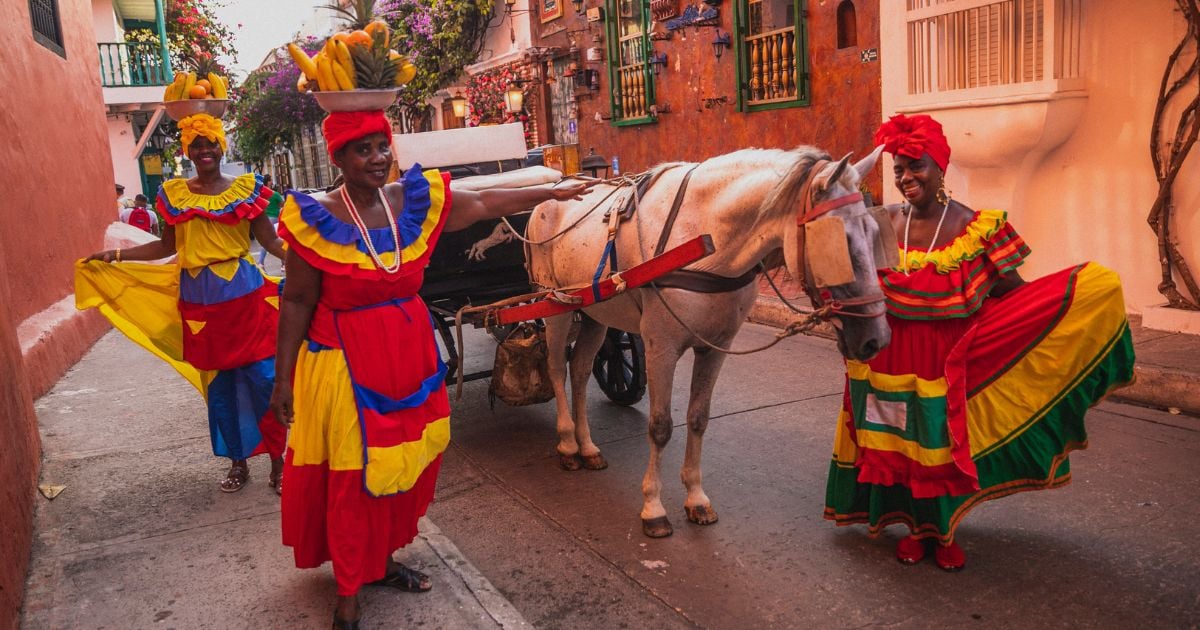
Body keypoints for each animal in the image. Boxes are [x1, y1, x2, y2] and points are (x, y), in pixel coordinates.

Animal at [528, 147, 892, 535]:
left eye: (873, 231)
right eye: (839, 240)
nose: (877, 338)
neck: (705, 237)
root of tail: (551, 192)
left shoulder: (714, 347)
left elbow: (698, 418)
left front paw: (696, 498)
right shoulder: (660, 347)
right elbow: (660, 427)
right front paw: (653, 506)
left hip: (595, 313)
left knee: (580, 370)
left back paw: (587, 446)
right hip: (555, 305)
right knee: (557, 369)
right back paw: (568, 444)